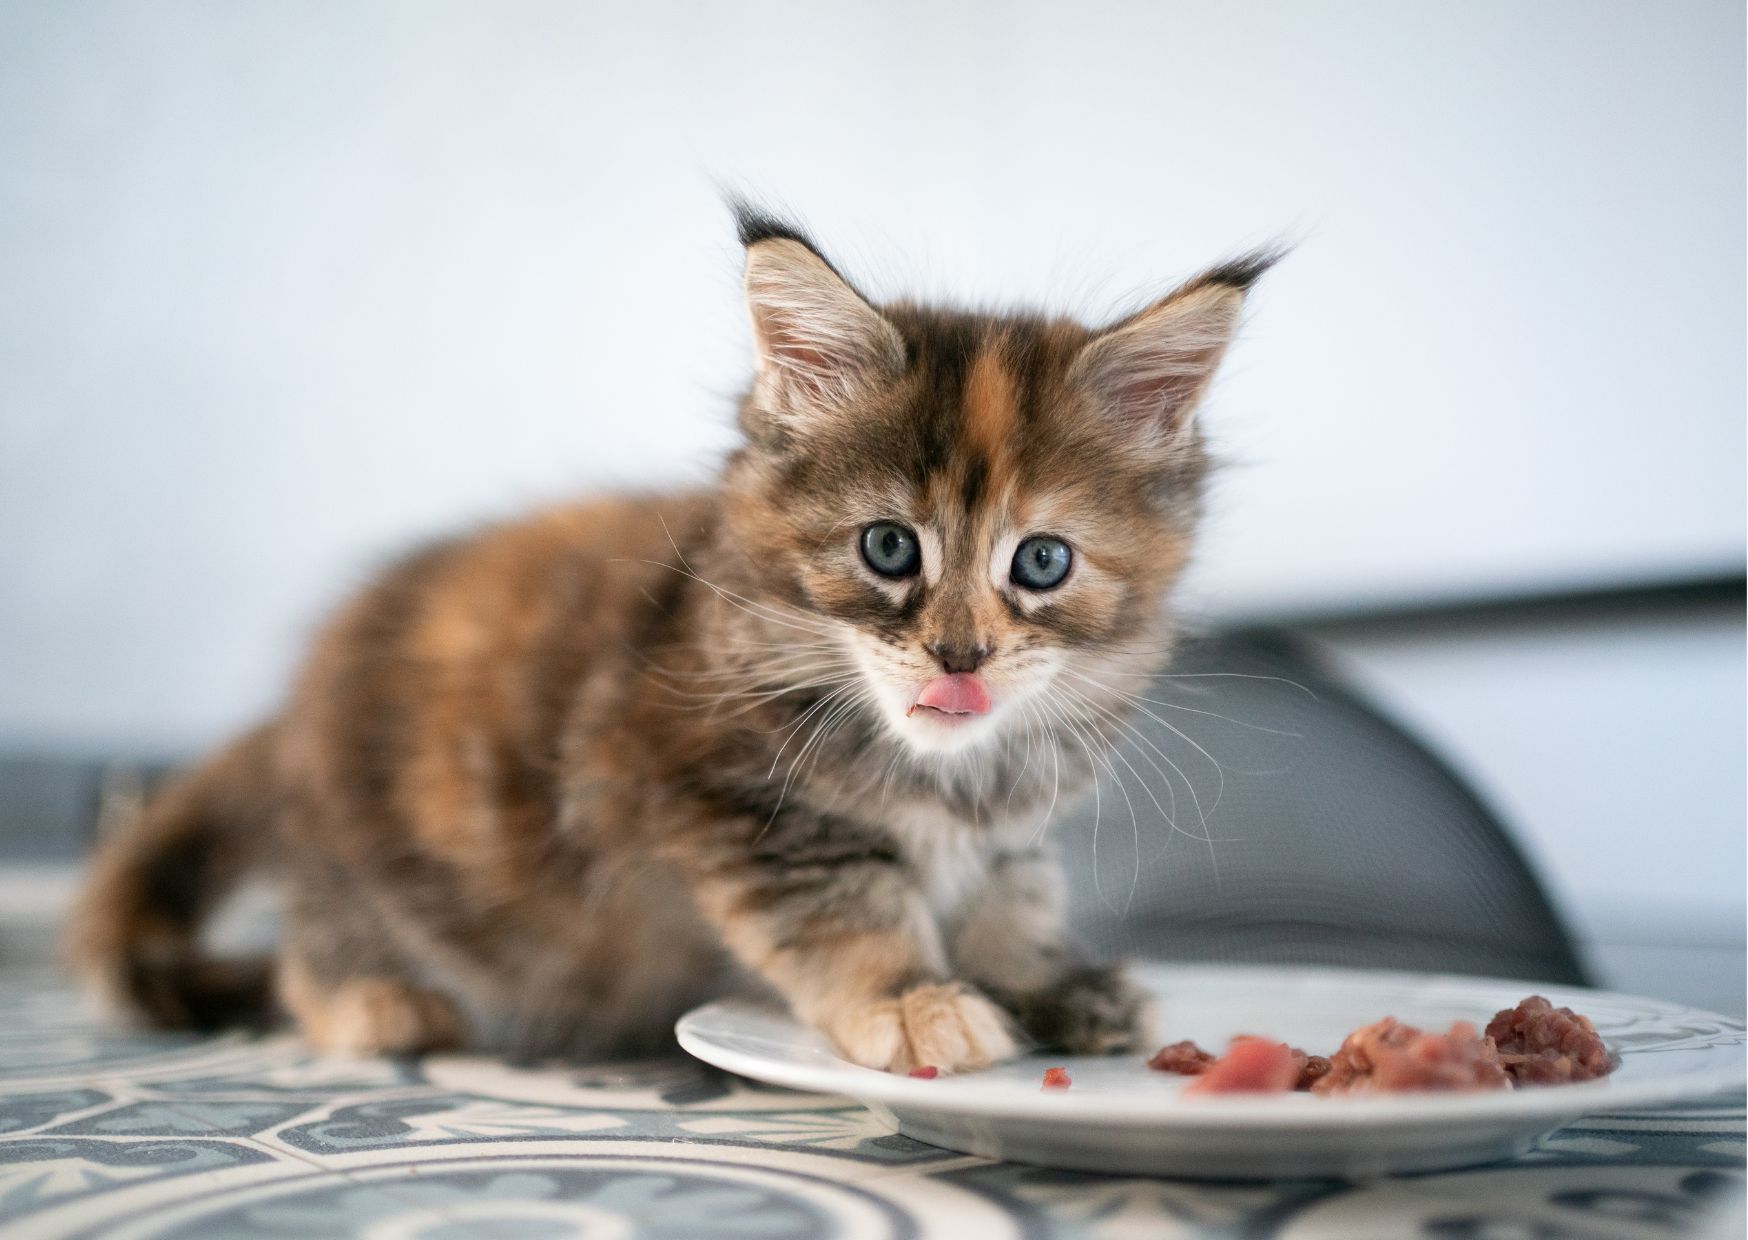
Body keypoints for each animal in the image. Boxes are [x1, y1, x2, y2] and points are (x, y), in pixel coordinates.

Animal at [71, 205, 1272, 1070]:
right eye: (889, 549)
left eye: (1040, 564)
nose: (960, 654)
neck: (946, 779)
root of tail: (295, 702)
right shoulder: (733, 806)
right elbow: (850, 912)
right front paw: (912, 1000)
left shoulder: (1009, 836)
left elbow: (1010, 904)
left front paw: (1046, 984)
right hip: (366, 834)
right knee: (323, 932)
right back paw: (374, 999)